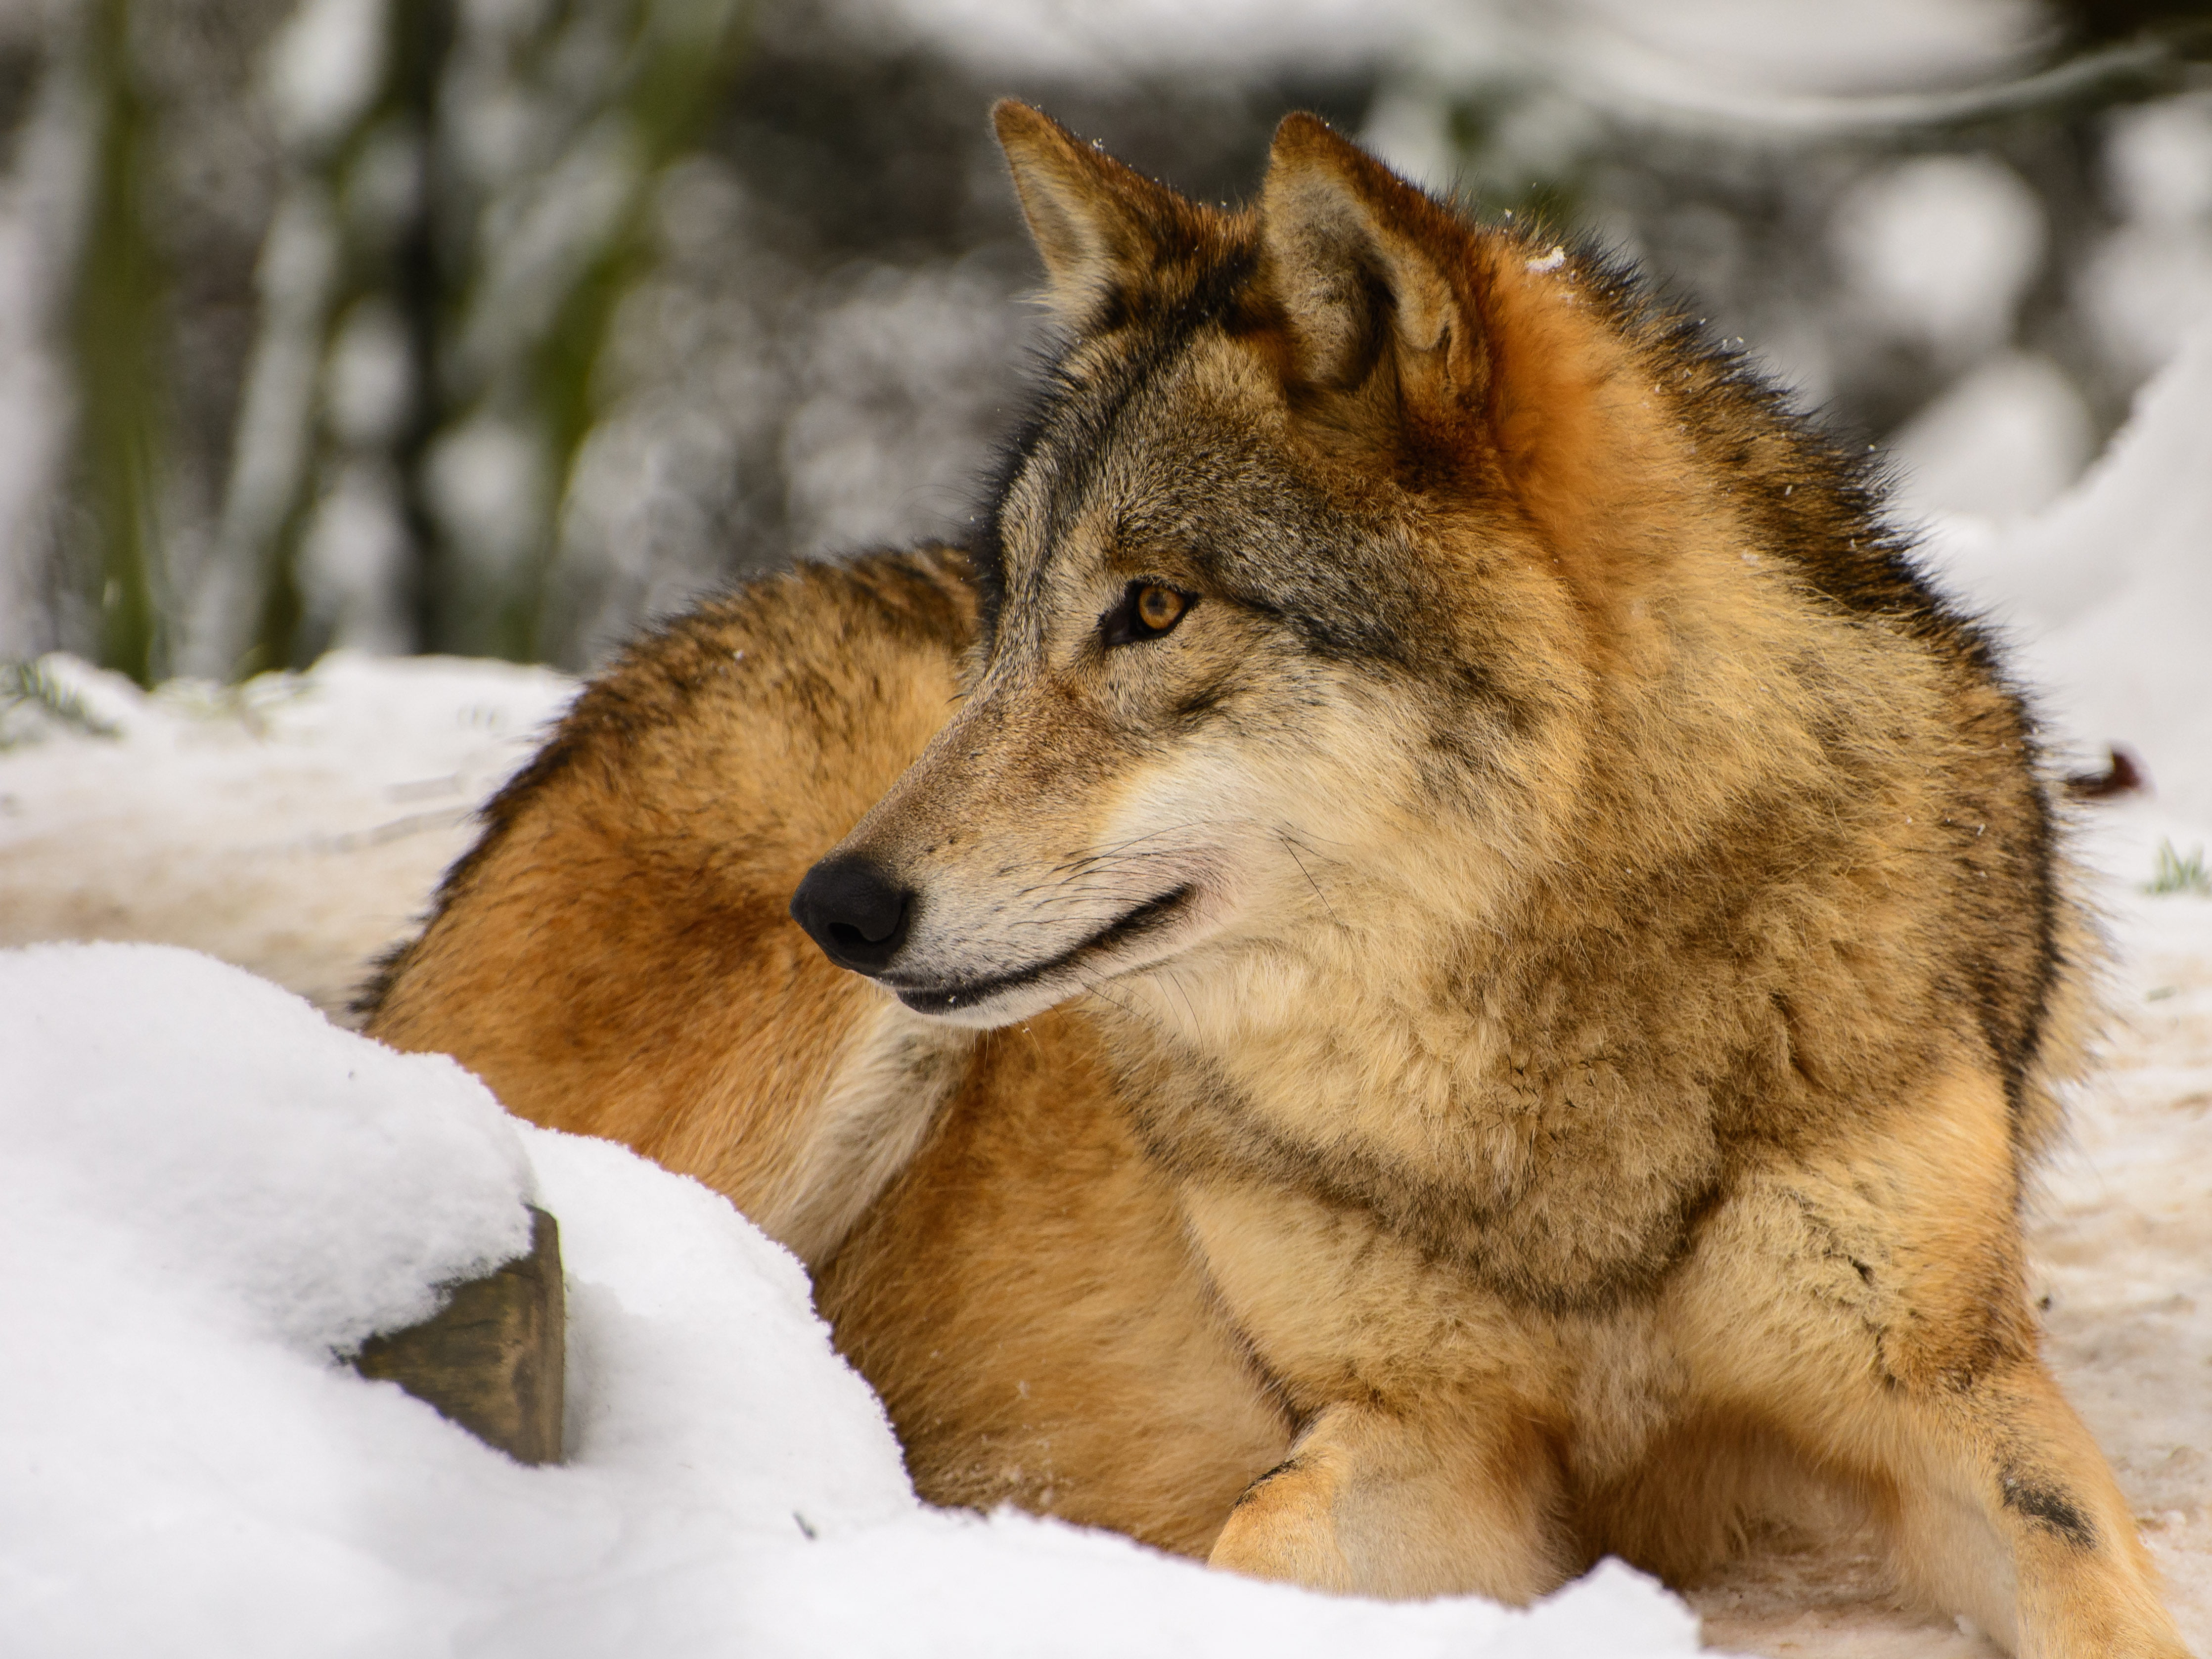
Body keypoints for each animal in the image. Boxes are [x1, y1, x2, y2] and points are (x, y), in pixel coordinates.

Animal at [367, 110, 2194, 1655]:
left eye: (1155, 608)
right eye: (1015, 607)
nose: (842, 908)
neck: (1532, 1046)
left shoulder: (1940, 1387)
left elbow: (2091, 1579)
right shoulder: (1415, 1434)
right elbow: (1247, 1556)